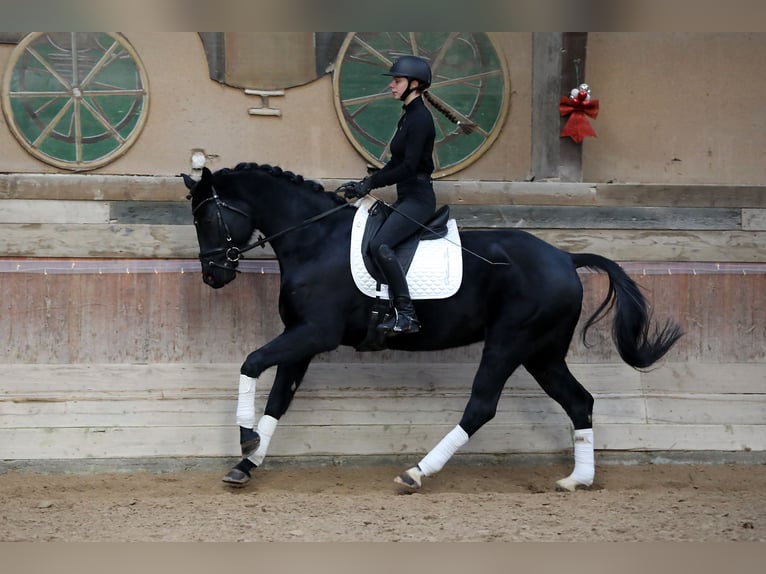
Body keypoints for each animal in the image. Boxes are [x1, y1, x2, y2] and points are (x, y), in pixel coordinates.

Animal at [183, 164, 680, 492]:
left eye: (205, 217)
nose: (212, 275)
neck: (314, 239)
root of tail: (565, 257)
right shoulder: (302, 339)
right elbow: (277, 400)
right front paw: (247, 462)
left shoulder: (314, 333)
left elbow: (251, 364)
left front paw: (245, 439)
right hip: (542, 352)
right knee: (579, 402)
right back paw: (578, 479)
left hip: (509, 343)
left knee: (481, 407)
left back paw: (417, 472)